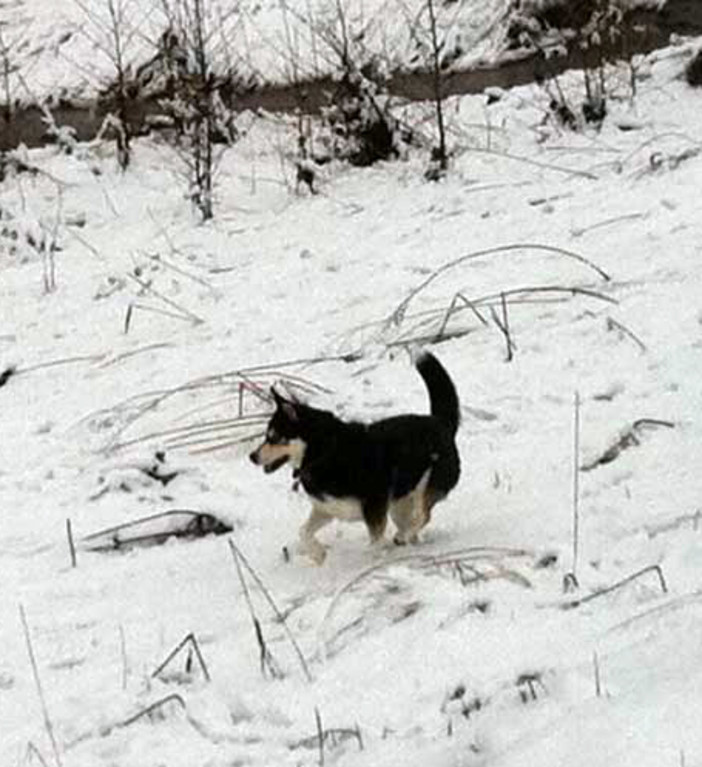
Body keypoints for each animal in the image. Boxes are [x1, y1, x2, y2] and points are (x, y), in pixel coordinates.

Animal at [252, 352, 462, 564]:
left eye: (274, 438)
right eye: (266, 436)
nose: (252, 456)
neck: (324, 452)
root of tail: (441, 422)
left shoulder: (374, 509)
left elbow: (376, 543)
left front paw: (375, 561)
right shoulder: (326, 509)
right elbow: (303, 531)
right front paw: (318, 555)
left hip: (428, 485)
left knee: (423, 516)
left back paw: (403, 537)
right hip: (399, 503)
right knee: (413, 522)